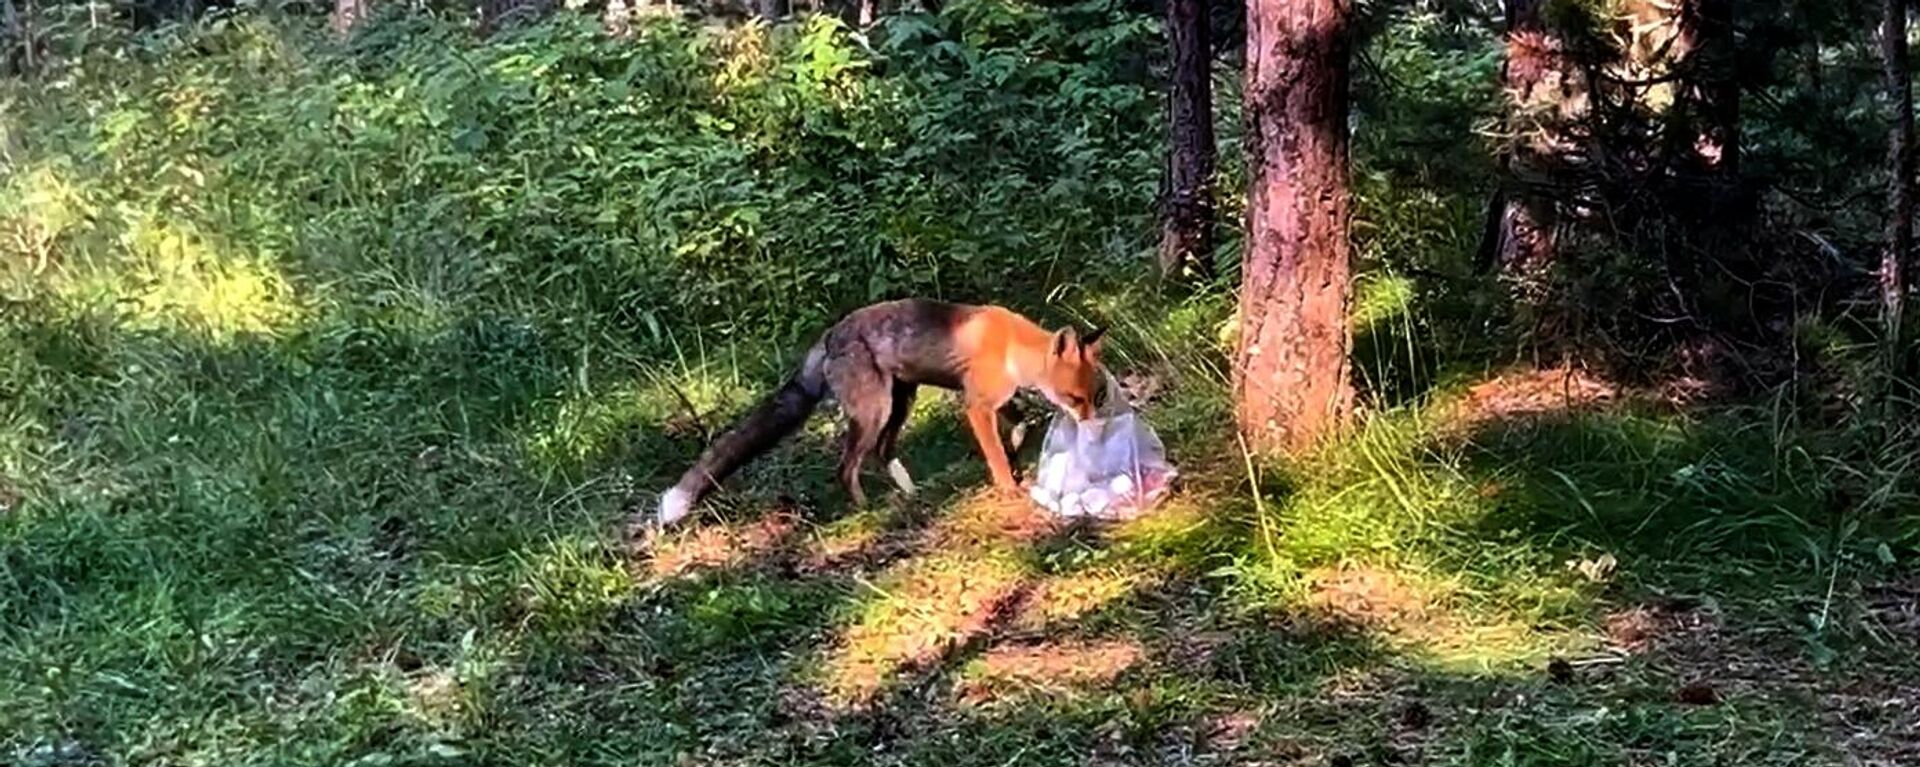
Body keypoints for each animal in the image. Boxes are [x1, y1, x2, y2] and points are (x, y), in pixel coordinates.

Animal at [660, 299, 1105, 530]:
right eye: (1074, 397)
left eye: (1094, 395)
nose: (1091, 427)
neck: (1011, 346)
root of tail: (828, 336)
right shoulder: (976, 405)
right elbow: (995, 452)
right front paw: (1009, 486)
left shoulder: (992, 398)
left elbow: (1021, 419)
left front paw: (1015, 446)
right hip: (875, 411)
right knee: (846, 467)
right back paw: (866, 511)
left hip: (900, 402)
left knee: (881, 453)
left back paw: (909, 494)